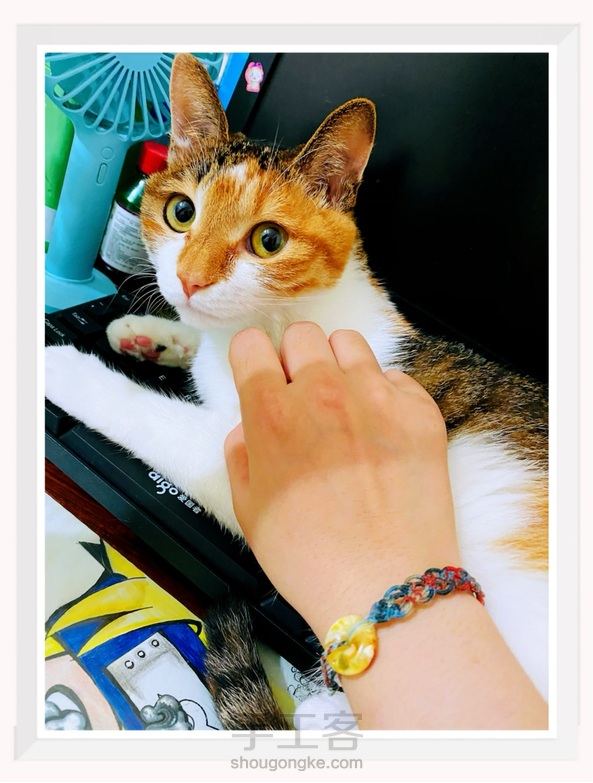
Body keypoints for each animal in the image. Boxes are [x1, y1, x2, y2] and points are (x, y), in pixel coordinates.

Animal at [45, 53, 548, 729]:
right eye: (181, 212)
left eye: (269, 241)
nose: (189, 279)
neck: (276, 321)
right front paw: (145, 332)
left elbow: (153, 415)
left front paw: (63, 364)